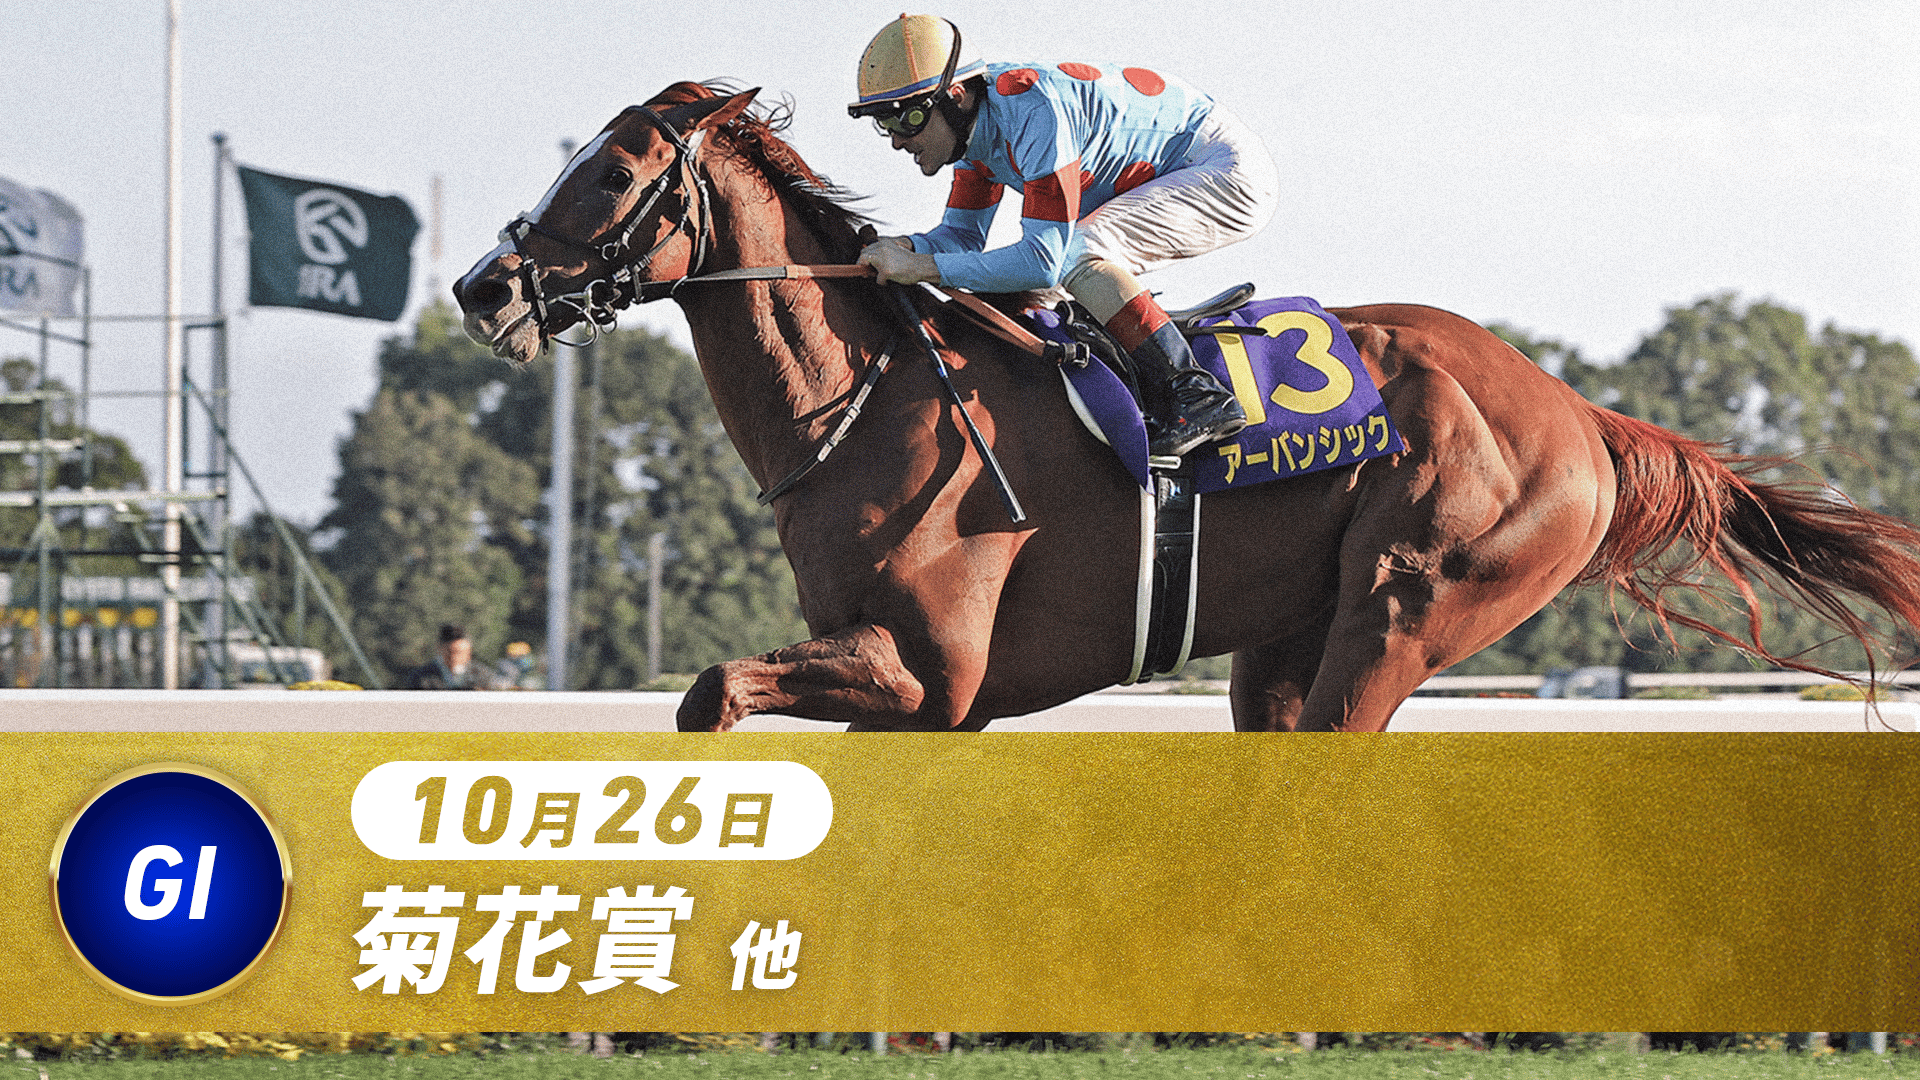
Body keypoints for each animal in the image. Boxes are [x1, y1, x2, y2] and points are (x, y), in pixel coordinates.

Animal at [454, 81, 1920, 731]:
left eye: (611, 173)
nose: (481, 288)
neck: (870, 410)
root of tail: (1576, 413)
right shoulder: (905, 689)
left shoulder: (934, 671)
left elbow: (710, 694)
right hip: (1284, 643)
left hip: (1407, 610)